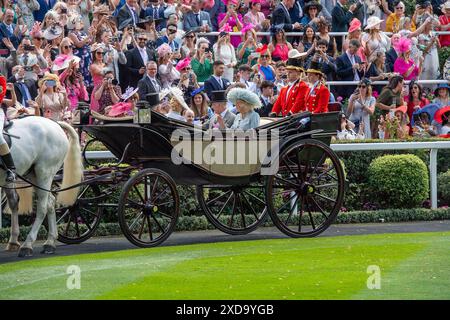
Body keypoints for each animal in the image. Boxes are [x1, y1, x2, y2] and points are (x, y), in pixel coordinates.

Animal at [2, 116, 83, 256]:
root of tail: (55, 123)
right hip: (34, 175)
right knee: (50, 202)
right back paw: (49, 242)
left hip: (44, 172)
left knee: (42, 207)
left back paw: (27, 245)